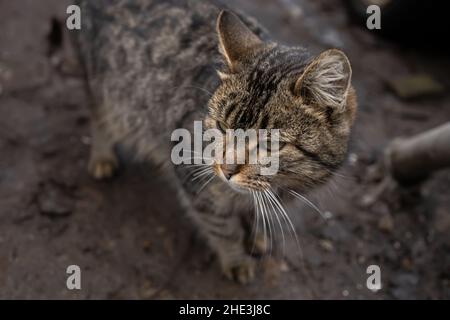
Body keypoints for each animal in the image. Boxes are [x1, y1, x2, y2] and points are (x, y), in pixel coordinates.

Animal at [74, 0, 356, 284]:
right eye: (221, 126)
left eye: (271, 145)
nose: (226, 170)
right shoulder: (193, 177)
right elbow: (223, 228)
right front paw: (237, 260)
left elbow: (254, 214)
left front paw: (257, 235)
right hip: (99, 81)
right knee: (99, 115)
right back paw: (103, 157)